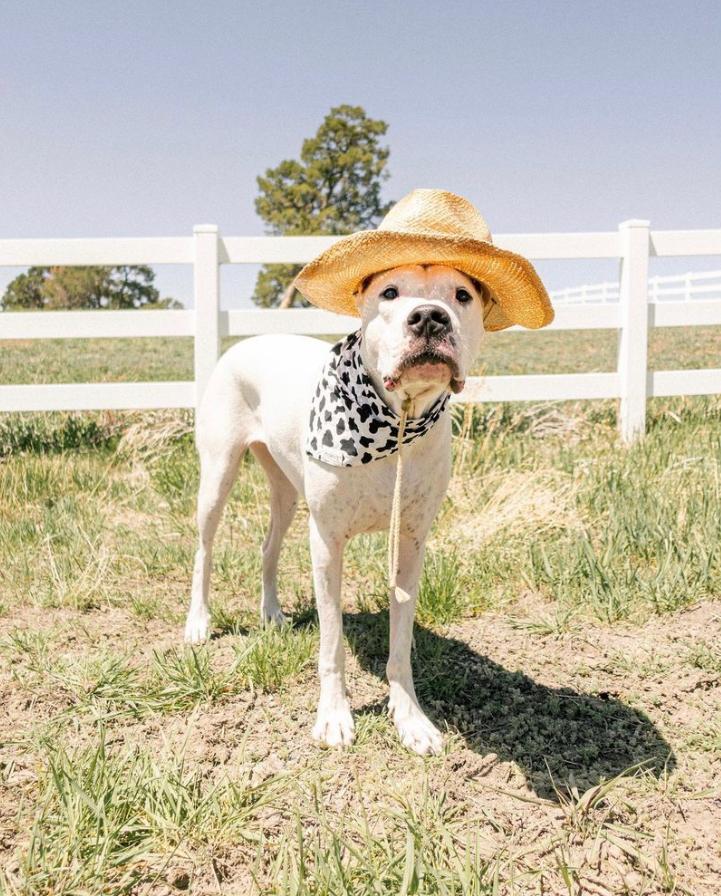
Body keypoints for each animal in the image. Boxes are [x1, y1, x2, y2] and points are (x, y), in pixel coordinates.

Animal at [181, 189, 552, 756]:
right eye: (390, 292)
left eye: (462, 295)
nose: (430, 318)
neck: (395, 420)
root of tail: (247, 340)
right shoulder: (328, 540)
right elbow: (332, 641)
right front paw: (334, 718)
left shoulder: (411, 541)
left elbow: (401, 641)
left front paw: (410, 719)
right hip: (219, 473)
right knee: (204, 547)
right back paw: (199, 623)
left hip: (287, 489)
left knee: (268, 545)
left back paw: (272, 615)